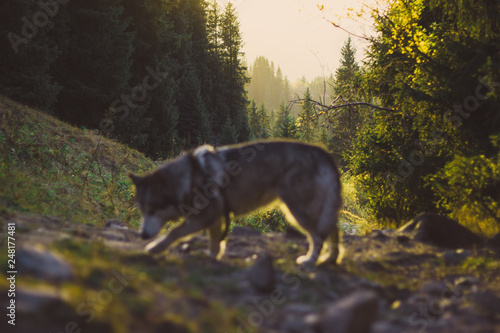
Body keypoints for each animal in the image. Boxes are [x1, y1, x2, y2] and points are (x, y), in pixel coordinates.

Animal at [129, 139, 342, 264]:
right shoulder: (216, 218)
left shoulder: (204, 217)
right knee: (333, 229)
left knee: (318, 235)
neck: (189, 178)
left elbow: (174, 232)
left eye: (153, 210)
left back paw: (311, 260)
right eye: (142, 210)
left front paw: (155, 247)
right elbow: (215, 242)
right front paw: (213, 257)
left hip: (297, 210)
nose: (143, 236)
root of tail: (325, 154)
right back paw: (331, 258)